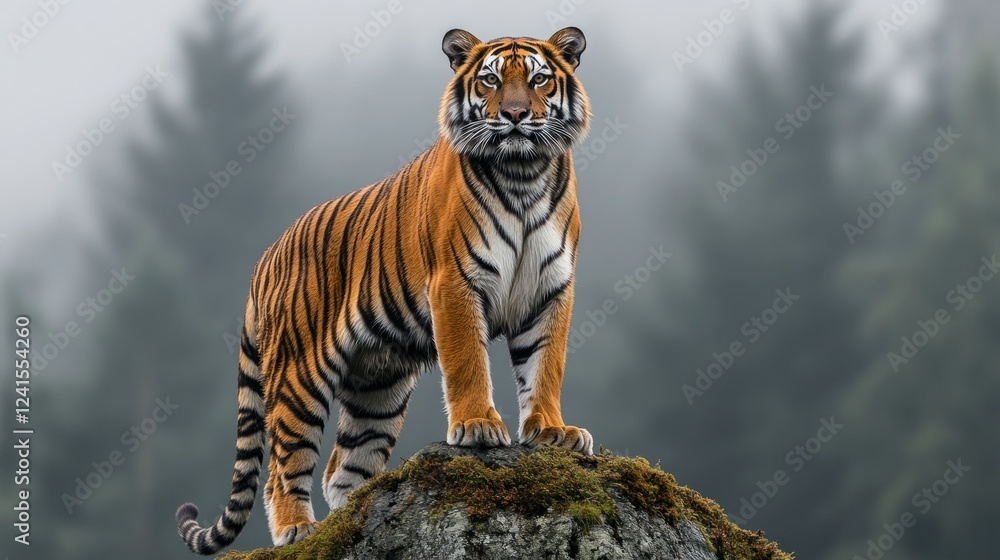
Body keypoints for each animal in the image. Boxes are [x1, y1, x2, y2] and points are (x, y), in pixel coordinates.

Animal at [176, 26, 592, 554]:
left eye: (539, 80)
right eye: (491, 80)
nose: (516, 115)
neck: (524, 175)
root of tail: (263, 259)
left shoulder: (551, 290)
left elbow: (546, 366)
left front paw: (554, 432)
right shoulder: (456, 282)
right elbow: (468, 361)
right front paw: (478, 425)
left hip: (379, 386)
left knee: (342, 470)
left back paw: (356, 521)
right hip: (298, 377)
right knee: (281, 470)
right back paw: (298, 529)